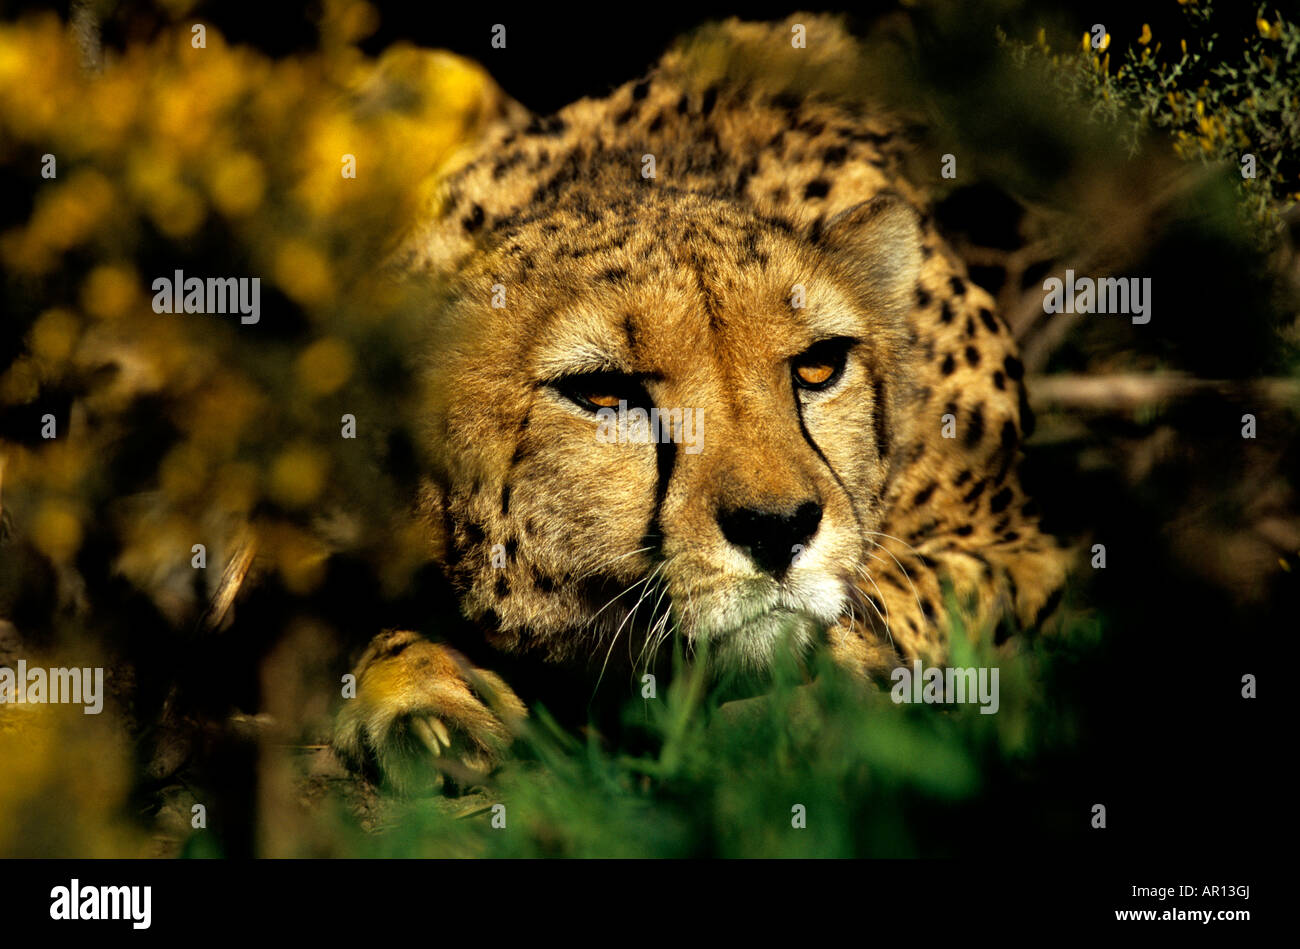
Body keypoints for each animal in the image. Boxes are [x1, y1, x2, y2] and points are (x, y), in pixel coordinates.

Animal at [332, 14, 1066, 785]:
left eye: (818, 367)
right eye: (602, 391)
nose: (777, 529)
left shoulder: (1017, 550)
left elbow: (902, 597)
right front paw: (422, 692)